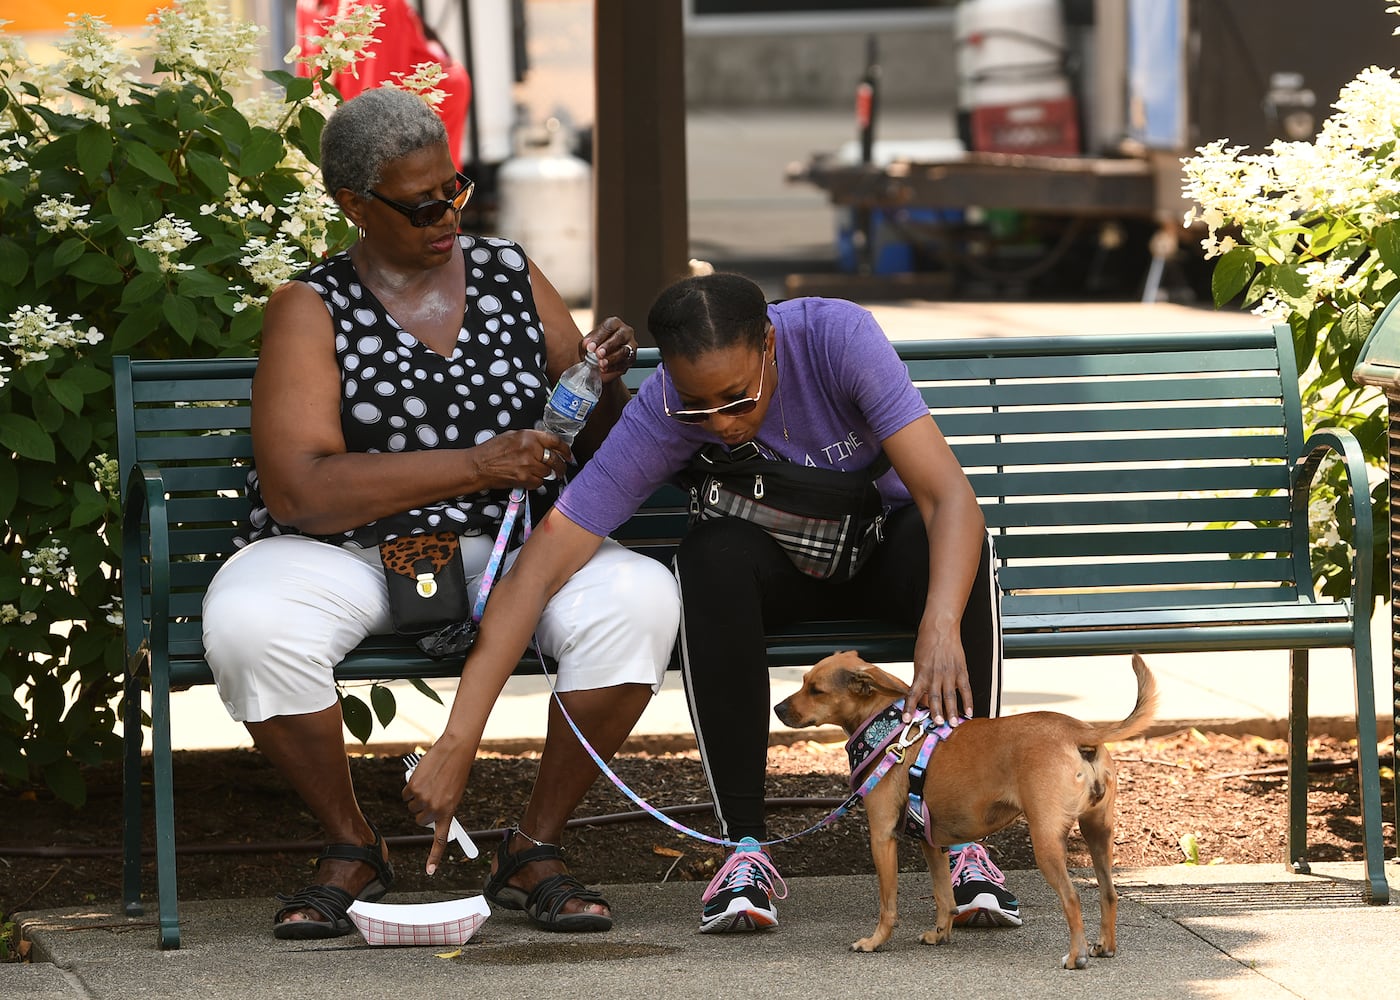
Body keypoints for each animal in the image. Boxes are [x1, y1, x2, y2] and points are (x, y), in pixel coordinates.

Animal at [772, 647, 1153, 963]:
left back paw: (1076, 957)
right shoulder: (931, 842)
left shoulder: (882, 837)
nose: (776, 708)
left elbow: (888, 904)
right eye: (803, 682)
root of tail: (1081, 733)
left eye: (816, 690)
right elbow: (945, 898)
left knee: (1072, 899)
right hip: (1097, 833)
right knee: (1109, 893)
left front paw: (875, 941)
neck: (891, 730)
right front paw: (941, 934)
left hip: (1046, 842)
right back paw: (1105, 946)